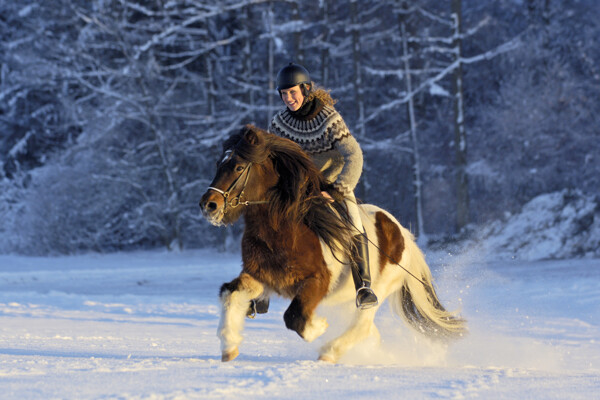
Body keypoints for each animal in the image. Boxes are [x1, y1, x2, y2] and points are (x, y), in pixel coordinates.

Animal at [199, 124, 466, 362]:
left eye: (238, 166)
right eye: (218, 164)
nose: (208, 205)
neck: (283, 231)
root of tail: (404, 236)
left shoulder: (317, 281)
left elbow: (294, 316)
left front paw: (319, 326)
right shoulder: (262, 276)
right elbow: (230, 292)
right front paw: (229, 346)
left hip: (377, 291)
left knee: (363, 324)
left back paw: (329, 352)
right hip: (347, 300)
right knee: (369, 331)